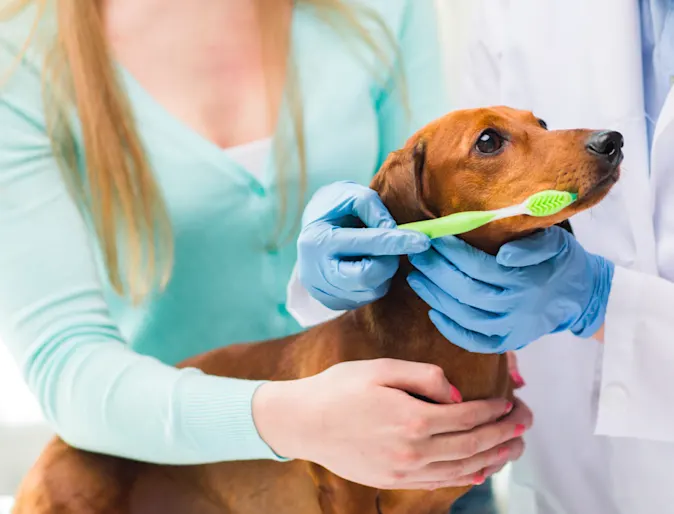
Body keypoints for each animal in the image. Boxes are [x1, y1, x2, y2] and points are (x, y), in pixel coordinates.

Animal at [11, 106, 620, 510]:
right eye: (489, 140)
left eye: (541, 122)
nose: (612, 139)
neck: (434, 350)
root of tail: (60, 440)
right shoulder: (345, 487)